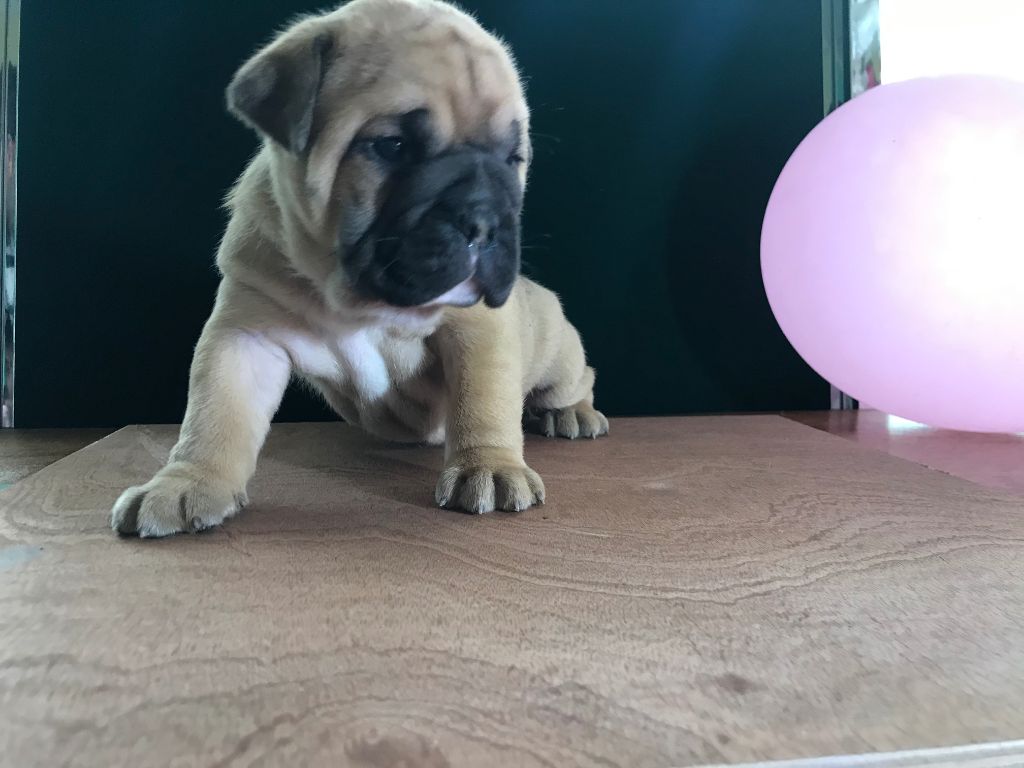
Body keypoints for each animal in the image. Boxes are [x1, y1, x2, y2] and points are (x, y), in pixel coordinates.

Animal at [111, 0, 607, 537]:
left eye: (513, 159)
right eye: (392, 146)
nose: (483, 219)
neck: (358, 301)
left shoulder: (478, 329)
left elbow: (484, 398)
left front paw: (490, 466)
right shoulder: (244, 336)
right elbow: (214, 413)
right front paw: (186, 482)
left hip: (558, 351)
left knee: (577, 379)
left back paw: (574, 414)